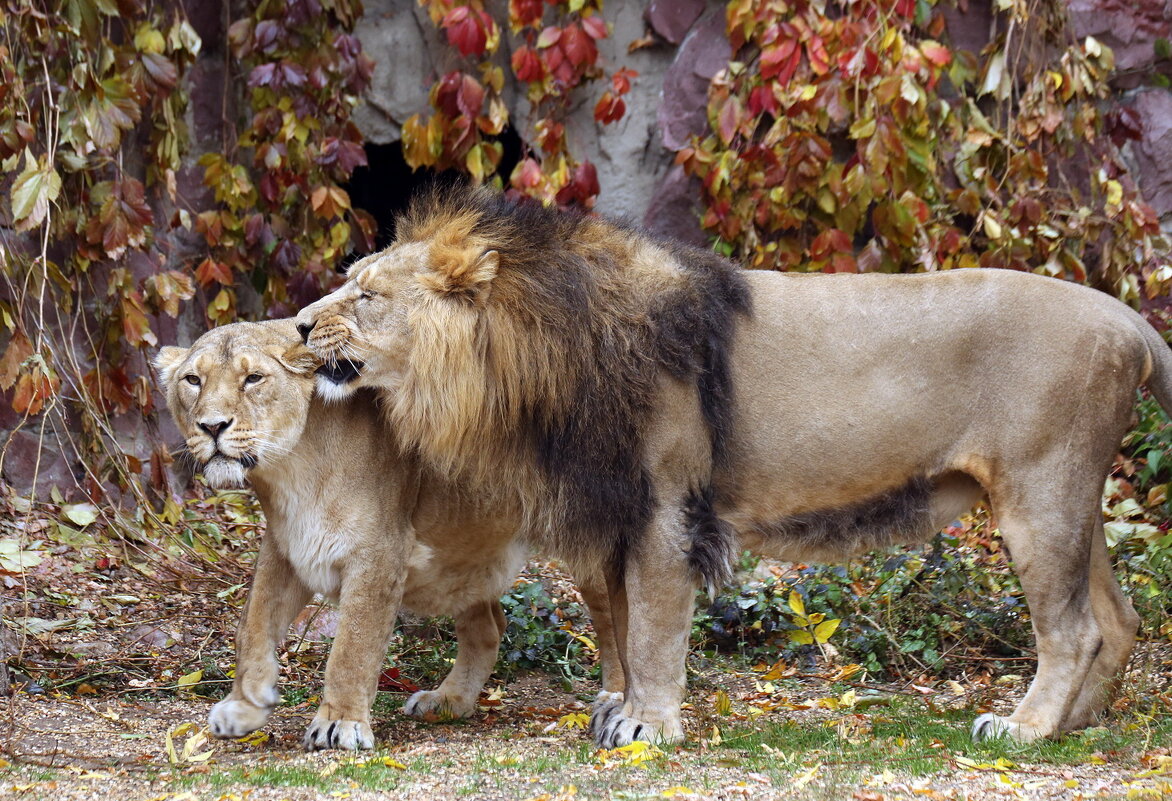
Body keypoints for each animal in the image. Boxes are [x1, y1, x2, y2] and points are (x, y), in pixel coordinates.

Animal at [162, 318, 632, 750]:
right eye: (193, 380)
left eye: (254, 379)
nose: (212, 426)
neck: (288, 471)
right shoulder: (287, 549)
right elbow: (253, 625)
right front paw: (245, 705)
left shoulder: (378, 554)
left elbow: (351, 648)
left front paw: (339, 723)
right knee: (489, 627)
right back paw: (449, 701)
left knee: (614, 623)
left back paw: (616, 701)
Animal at [297, 185, 1167, 750]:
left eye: (367, 294)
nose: (302, 323)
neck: (537, 355)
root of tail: (1125, 315)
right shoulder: (617, 511)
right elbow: (620, 627)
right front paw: (622, 708)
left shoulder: (665, 508)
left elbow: (653, 628)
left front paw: (647, 724)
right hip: (1069, 501)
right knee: (1117, 617)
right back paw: (1075, 723)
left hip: (1038, 496)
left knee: (1073, 627)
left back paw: (1024, 727)